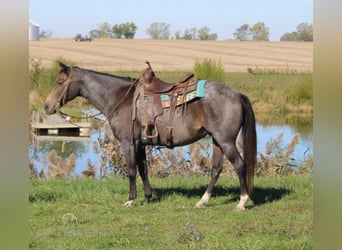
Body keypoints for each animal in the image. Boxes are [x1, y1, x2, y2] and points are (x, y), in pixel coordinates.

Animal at [43, 62, 256, 211]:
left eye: (60, 82)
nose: (46, 106)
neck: (120, 99)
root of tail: (237, 94)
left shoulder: (128, 143)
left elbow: (131, 170)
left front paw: (131, 200)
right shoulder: (140, 144)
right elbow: (143, 169)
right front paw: (147, 197)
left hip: (226, 141)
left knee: (239, 165)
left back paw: (242, 202)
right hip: (217, 140)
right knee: (216, 169)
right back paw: (203, 201)